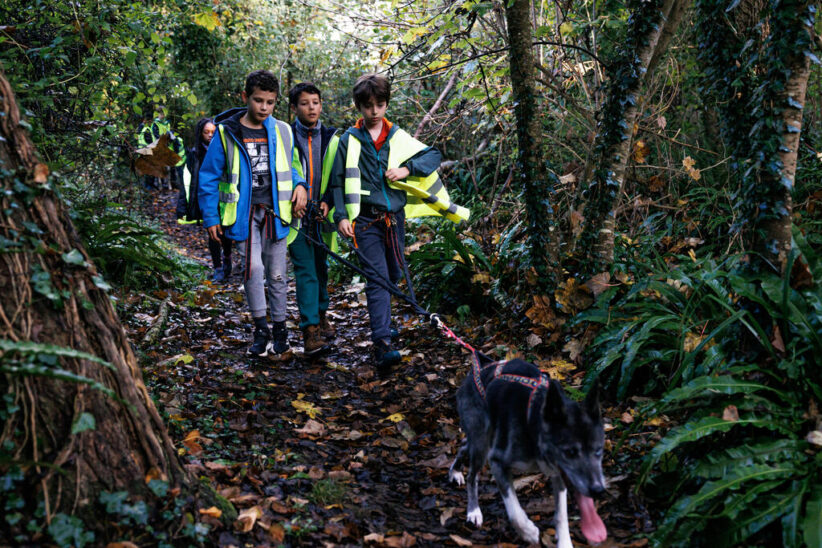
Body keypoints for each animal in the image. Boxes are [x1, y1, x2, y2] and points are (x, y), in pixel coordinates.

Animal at [448, 354, 608, 544]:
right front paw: (528, 532)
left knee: (465, 444)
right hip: (481, 442)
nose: (598, 490)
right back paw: (473, 511)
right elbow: (514, 511)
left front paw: (564, 542)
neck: (533, 420)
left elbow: (561, 515)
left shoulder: (558, 474)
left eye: (598, 451)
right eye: (570, 452)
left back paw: (455, 471)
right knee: (472, 476)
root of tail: (482, 365)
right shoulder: (497, 461)